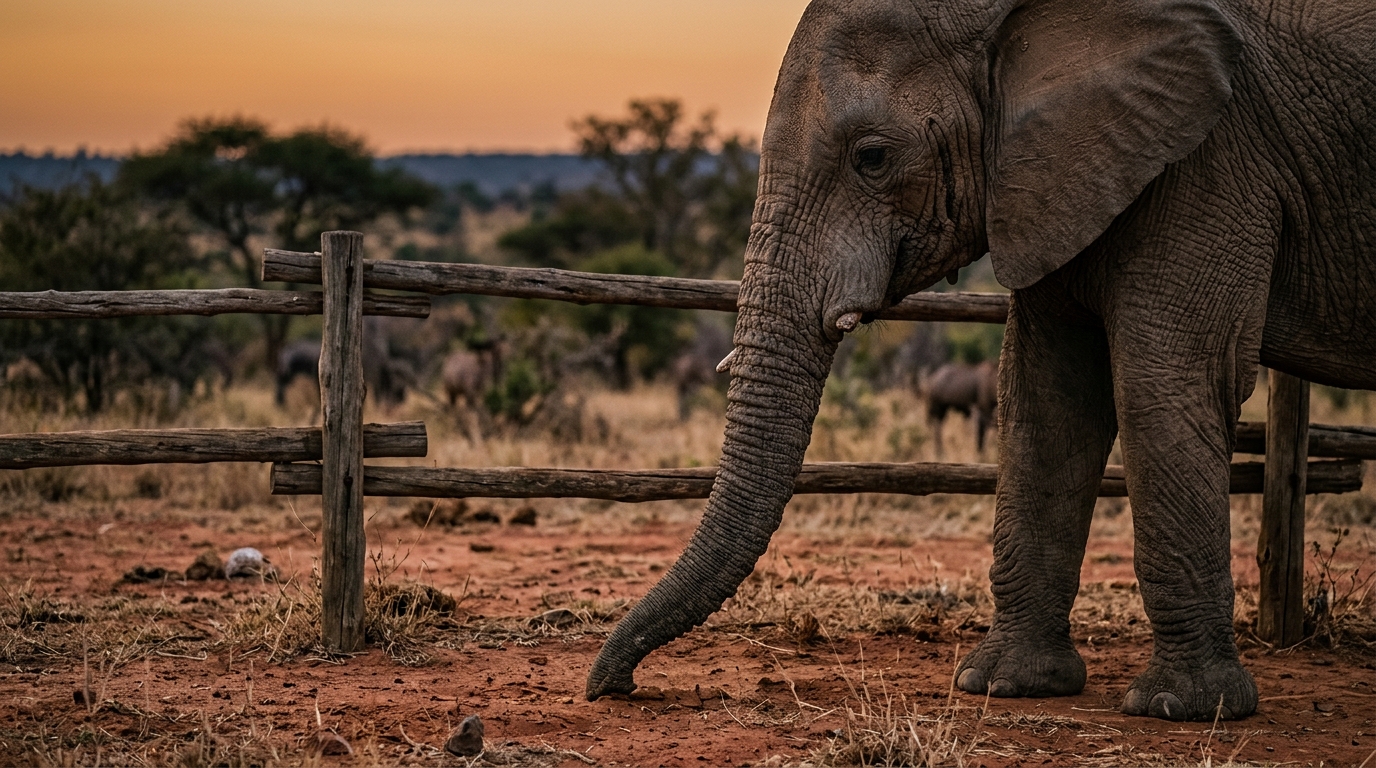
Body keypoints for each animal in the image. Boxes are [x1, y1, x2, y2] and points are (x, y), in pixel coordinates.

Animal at [586, 0, 1376, 722]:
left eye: (872, 157)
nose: (614, 687)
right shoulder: (1064, 174)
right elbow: (1047, 394)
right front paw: (1003, 685)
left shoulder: (1211, 159)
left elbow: (1164, 379)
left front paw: (1183, 709)